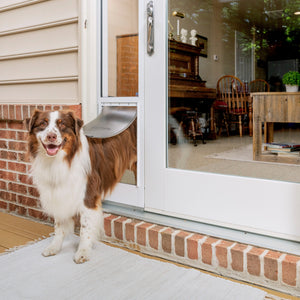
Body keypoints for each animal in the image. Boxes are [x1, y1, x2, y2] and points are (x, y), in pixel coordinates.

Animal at [26, 110, 137, 262]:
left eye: (62, 124)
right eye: (43, 123)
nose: (51, 136)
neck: (59, 161)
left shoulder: (88, 196)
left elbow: (85, 227)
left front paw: (83, 251)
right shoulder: (59, 193)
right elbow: (58, 225)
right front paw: (54, 247)